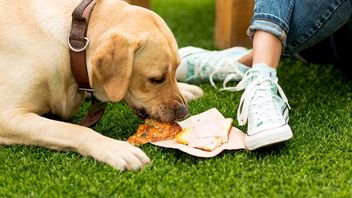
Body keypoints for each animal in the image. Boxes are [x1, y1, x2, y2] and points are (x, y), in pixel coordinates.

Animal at [0, 0, 204, 170]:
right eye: (156, 79)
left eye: (175, 70)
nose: (184, 112)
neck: (73, 41)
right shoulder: (7, 117)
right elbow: (73, 129)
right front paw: (117, 148)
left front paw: (185, 88)